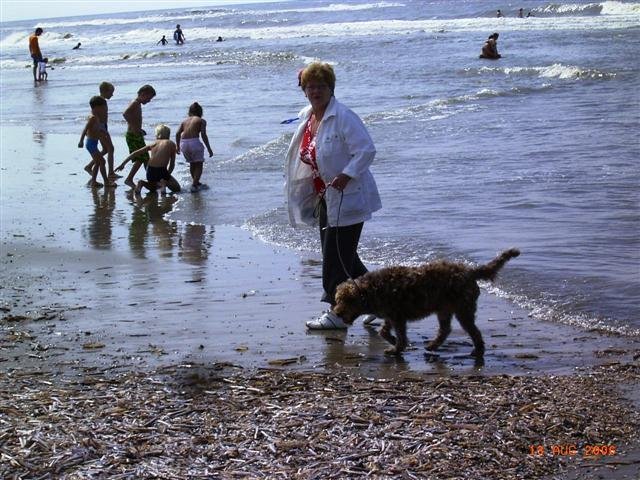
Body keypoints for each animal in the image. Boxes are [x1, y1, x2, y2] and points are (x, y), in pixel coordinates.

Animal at [336, 249, 520, 358]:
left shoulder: (398, 316)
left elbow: (400, 335)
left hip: (463, 309)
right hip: (444, 310)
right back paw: (433, 345)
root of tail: (470, 272)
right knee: (446, 330)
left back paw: (477, 350)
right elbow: (384, 331)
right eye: (338, 299)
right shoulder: (391, 315)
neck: (372, 290)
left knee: (474, 332)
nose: (337, 312)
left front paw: (397, 348)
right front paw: (393, 340)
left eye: (347, 301)